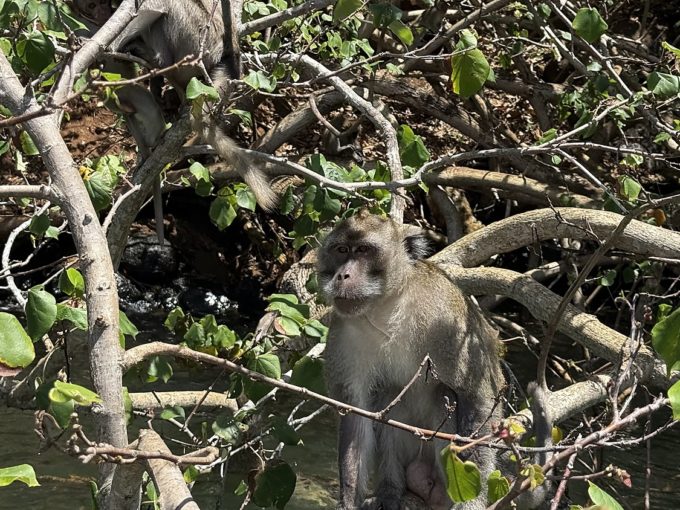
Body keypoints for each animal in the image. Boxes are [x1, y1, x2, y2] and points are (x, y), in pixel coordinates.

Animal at [71, 0, 276, 242]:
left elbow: (152, 10)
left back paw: (156, 61)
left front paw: (107, 47)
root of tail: (229, 61)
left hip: (196, 44)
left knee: (170, 8)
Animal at [317, 210, 504, 510]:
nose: (342, 275)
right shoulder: (342, 332)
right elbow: (354, 412)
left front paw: (472, 502)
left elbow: (477, 396)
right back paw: (391, 491)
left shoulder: (447, 322)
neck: (386, 305)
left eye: (364, 250)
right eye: (342, 250)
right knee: (388, 395)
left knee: (444, 395)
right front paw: (348, 501)